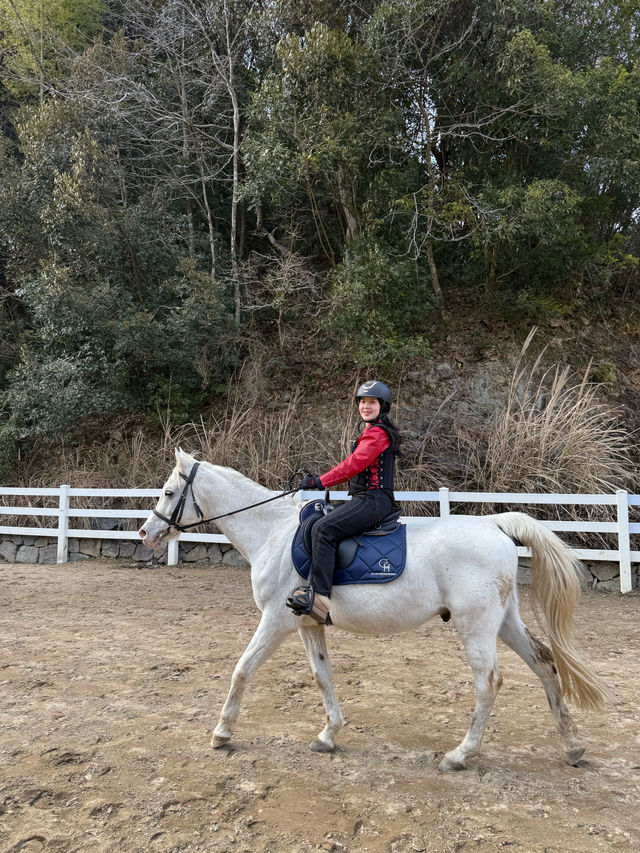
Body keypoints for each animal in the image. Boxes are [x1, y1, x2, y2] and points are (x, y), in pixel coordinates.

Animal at [141, 450, 608, 768]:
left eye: (167, 492)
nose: (146, 534)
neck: (271, 533)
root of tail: (494, 525)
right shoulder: (308, 622)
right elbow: (322, 675)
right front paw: (328, 735)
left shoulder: (276, 620)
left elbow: (242, 669)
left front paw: (222, 732)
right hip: (504, 621)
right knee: (545, 664)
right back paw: (573, 746)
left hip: (475, 626)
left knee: (488, 682)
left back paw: (460, 754)